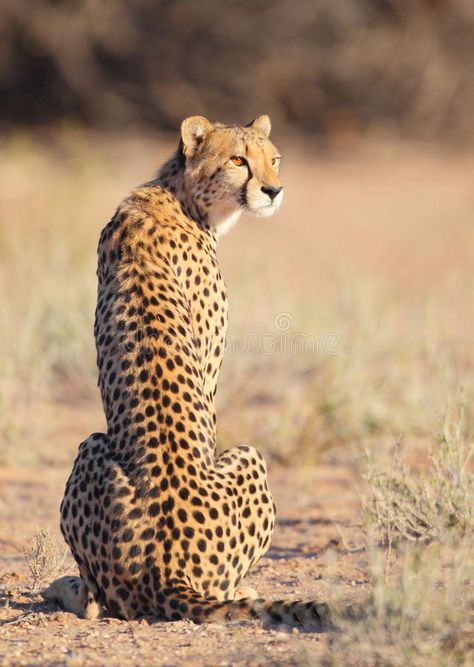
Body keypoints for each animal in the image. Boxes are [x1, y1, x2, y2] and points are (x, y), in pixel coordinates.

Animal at [44, 117, 328, 628]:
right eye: (238, 160)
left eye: (273, 159)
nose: (274, 190)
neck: (179, 196)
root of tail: (164, 572)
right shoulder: (210, 371)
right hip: (239, 454)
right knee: (108, 603)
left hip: (92, 448)